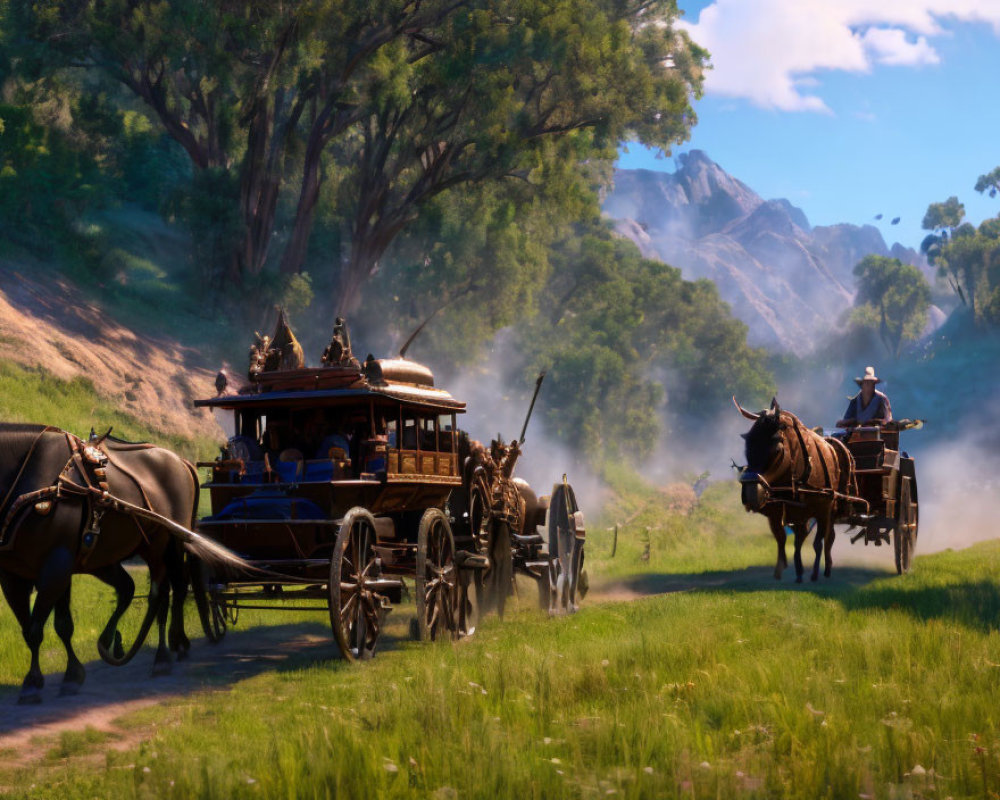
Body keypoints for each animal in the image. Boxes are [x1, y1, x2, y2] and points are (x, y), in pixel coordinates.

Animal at [0, 422, 240, 704]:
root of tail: (181, 461)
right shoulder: (17, 574)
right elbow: (49, 626)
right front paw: (68, 675)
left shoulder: (55, 567)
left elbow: (38, 628)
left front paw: (35, 684)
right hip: (135, 550)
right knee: (143, 590)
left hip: (168, 544)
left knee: (169, 593)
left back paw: (165, 653)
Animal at [736, 400, 852, 580]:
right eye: (747, 444)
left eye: (777, 449)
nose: (752, 494)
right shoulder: (779, 511)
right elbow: (782, 538)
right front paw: (783, 569)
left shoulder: (822, 510)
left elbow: (817, 541)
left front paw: (814, 572)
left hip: (828, 508)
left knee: (827, 538)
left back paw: (825, 568)